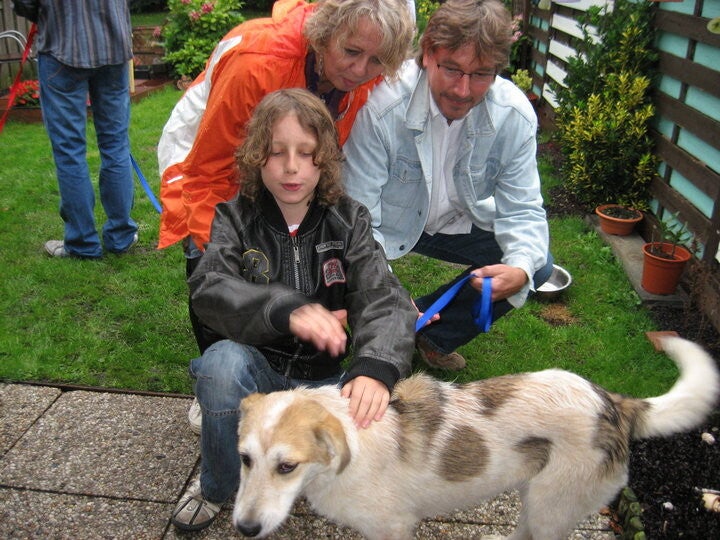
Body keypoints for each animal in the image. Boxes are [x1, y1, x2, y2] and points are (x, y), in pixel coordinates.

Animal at [232, 336, 719, 540]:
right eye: (245, 460)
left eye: (287, 466)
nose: (244, 529)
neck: (344, 452)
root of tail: (614, 403)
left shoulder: (393, 530)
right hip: (537, 499)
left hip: (553, 510)